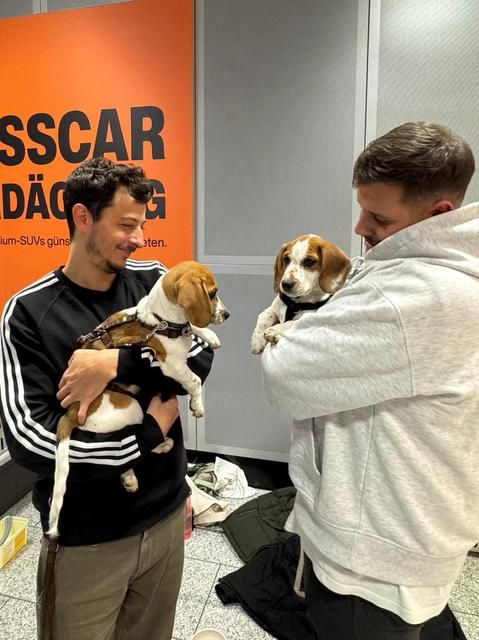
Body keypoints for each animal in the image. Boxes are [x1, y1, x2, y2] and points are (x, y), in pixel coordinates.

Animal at [48, 260, 229, 539]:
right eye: (212, 293)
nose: (227, 314)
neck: (161, 321)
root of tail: (70, 410)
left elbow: (194, 326)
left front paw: (209, 335)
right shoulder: (173, 366)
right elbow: (195, 380)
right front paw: (197, 405)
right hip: (131, 408)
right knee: (128, 449)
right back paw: (159, 449)